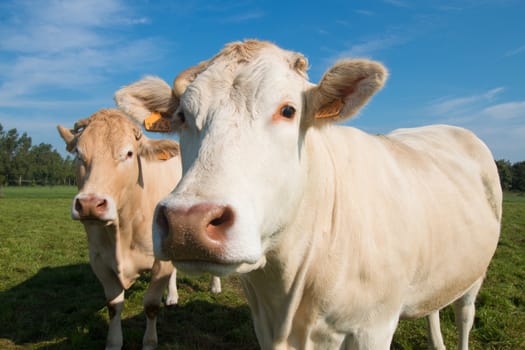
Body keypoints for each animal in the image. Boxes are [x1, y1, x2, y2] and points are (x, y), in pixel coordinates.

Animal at [57, 109, 221, 350]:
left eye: (129, 153)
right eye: (78, 153)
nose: (89, 204)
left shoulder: (159, 262)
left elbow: (151, 305)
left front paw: (150, 342)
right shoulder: (99, 261)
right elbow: (114, 305)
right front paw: (113, 343)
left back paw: (215, 286)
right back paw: (172, 296)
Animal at [113, 39, 500, 348]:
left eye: (288, 110)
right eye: (182, 116)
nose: (187, 223)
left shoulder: (373, 328)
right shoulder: (264, 325)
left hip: (477, 273)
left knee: (464, 314)